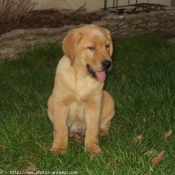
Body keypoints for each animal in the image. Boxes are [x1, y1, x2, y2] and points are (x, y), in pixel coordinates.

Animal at [47, 24, 115, 154]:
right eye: (91, 47)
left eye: (107, 46)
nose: (108, 64)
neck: (81, 78)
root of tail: (80, 130)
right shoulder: (60, 102)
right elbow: (60, 128)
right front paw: (59, 147)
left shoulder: (94, 103)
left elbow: (93, 129)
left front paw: (93, 148)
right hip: (50, 101)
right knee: (67, 130)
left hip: (108, 97)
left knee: (103, 124)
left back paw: (102, 132)